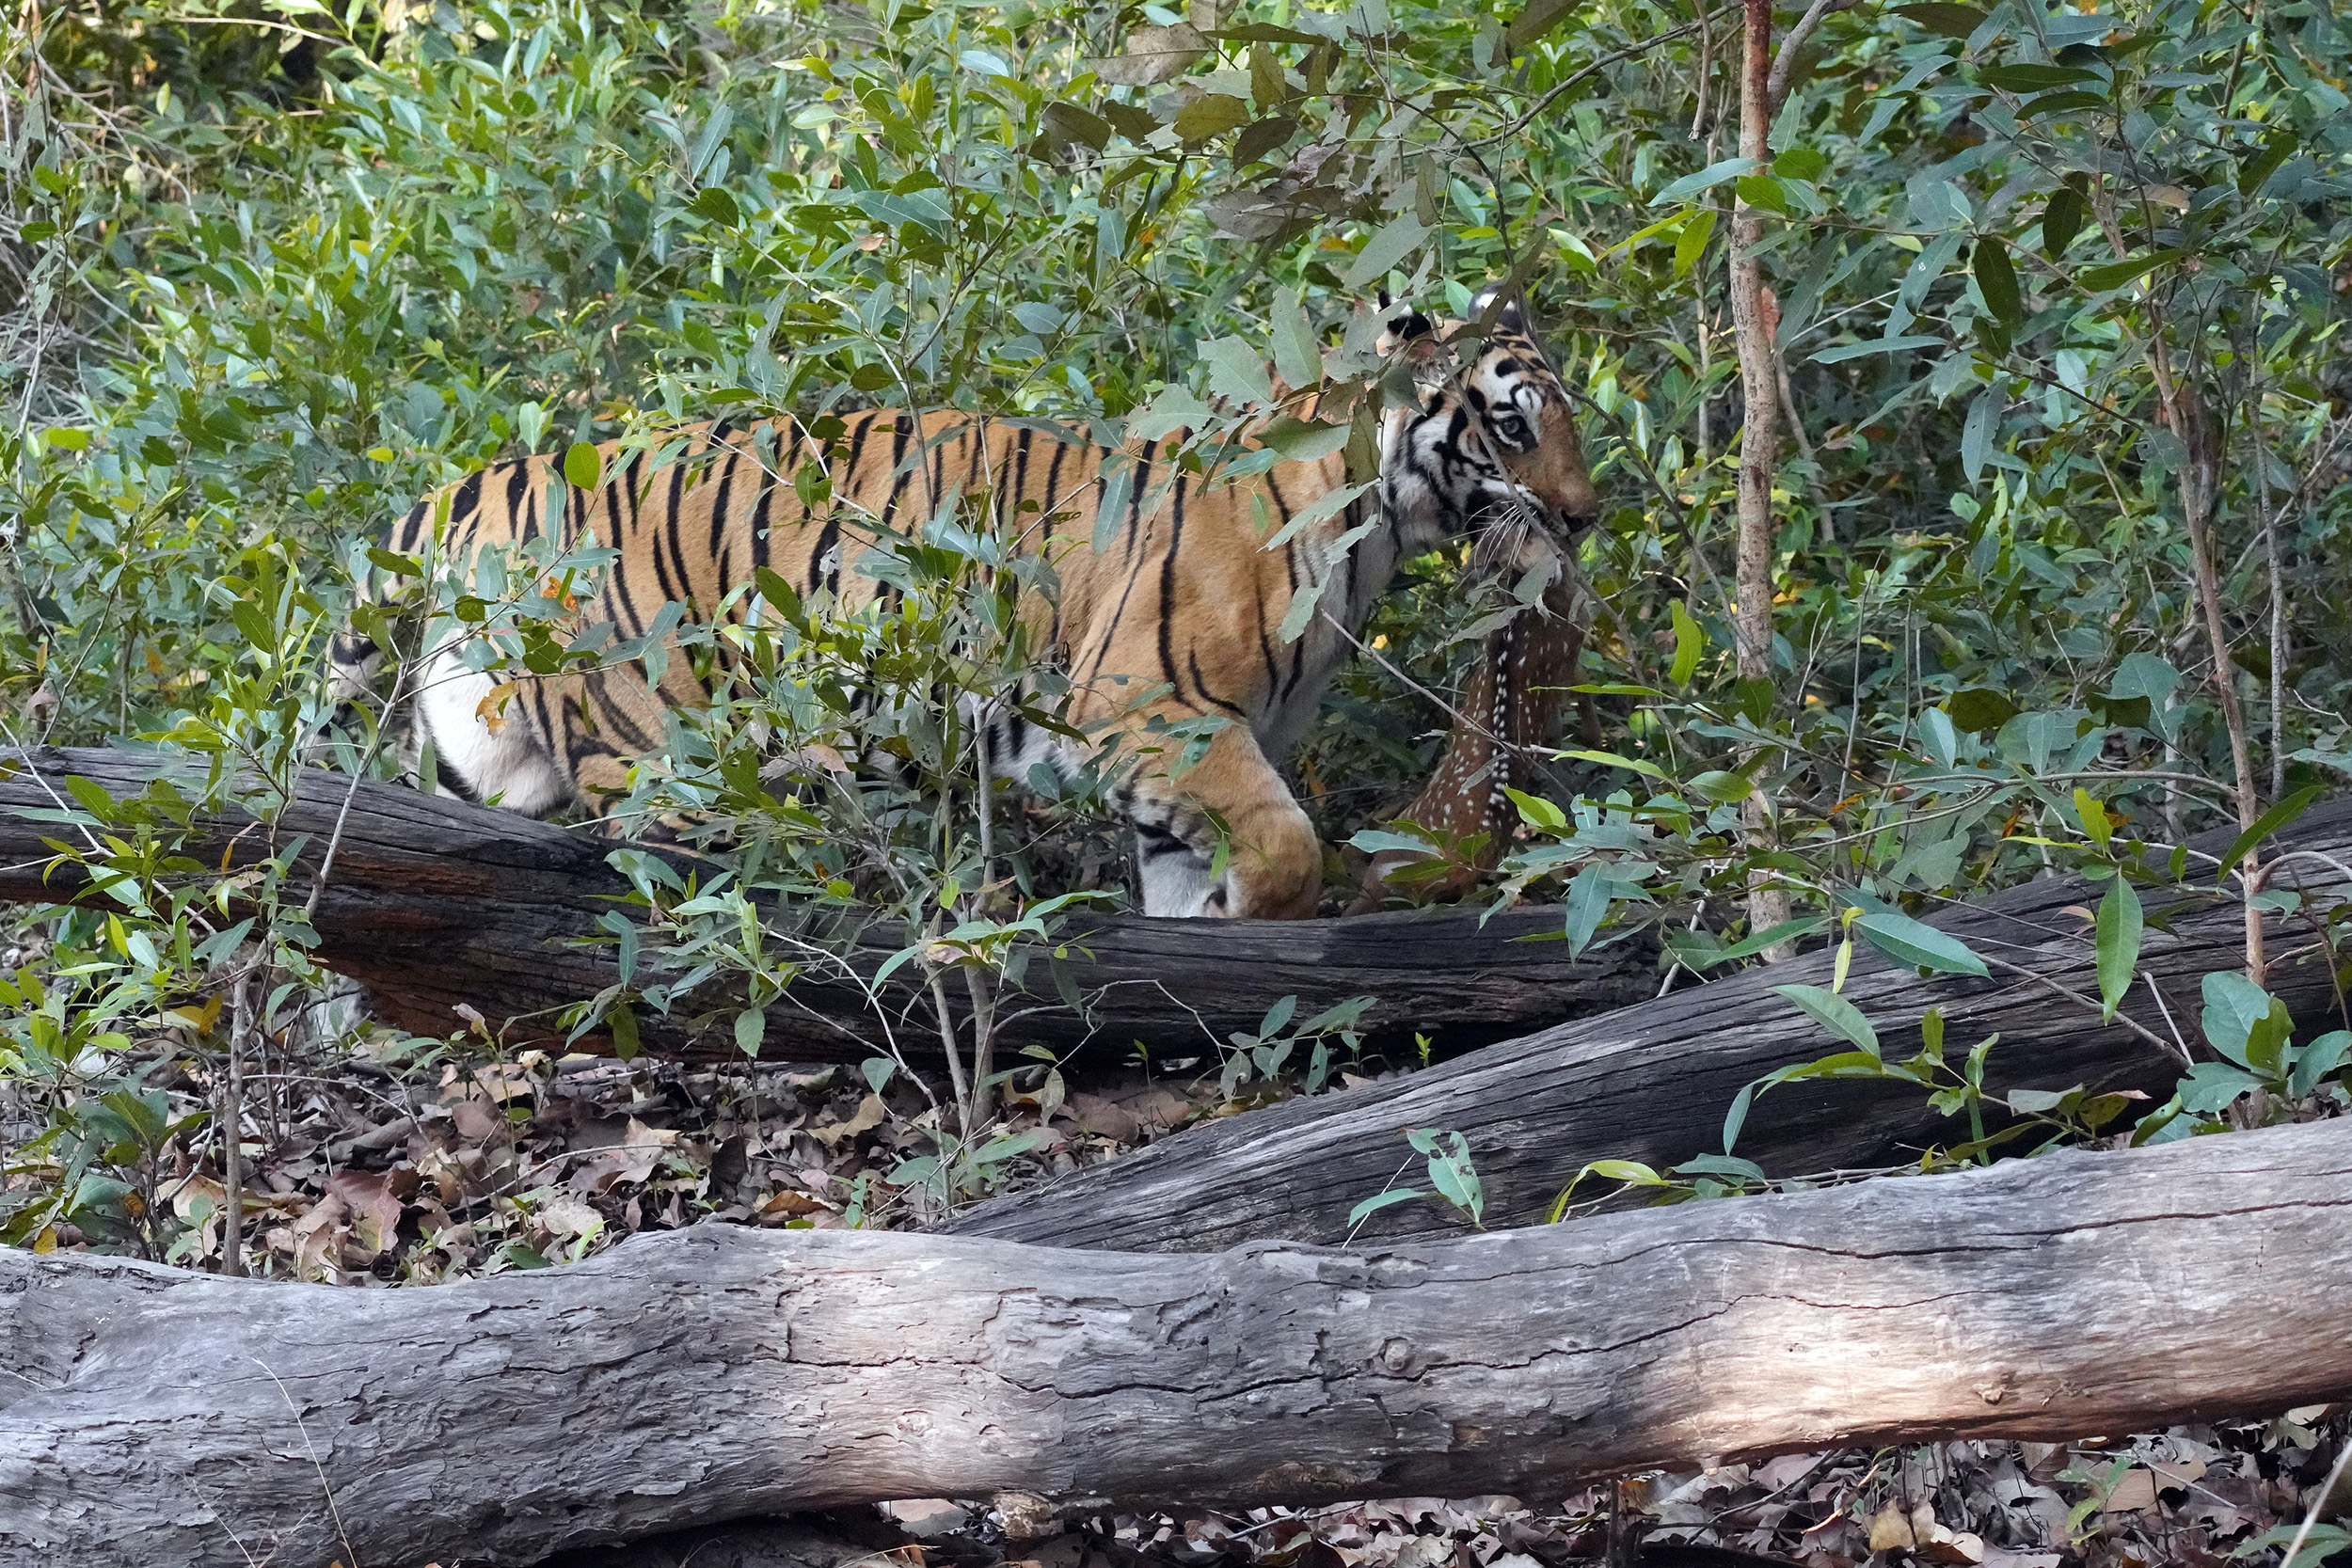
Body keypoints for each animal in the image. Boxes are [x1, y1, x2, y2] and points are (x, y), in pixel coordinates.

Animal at [328, 288, 1598, 920]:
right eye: (1511, 423)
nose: (1584, 517)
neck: (1365, 527)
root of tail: (481, 476)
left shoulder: (1182, 757)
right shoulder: (1155, 712)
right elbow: (1288, 849)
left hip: (507, 757)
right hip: (667, 756)